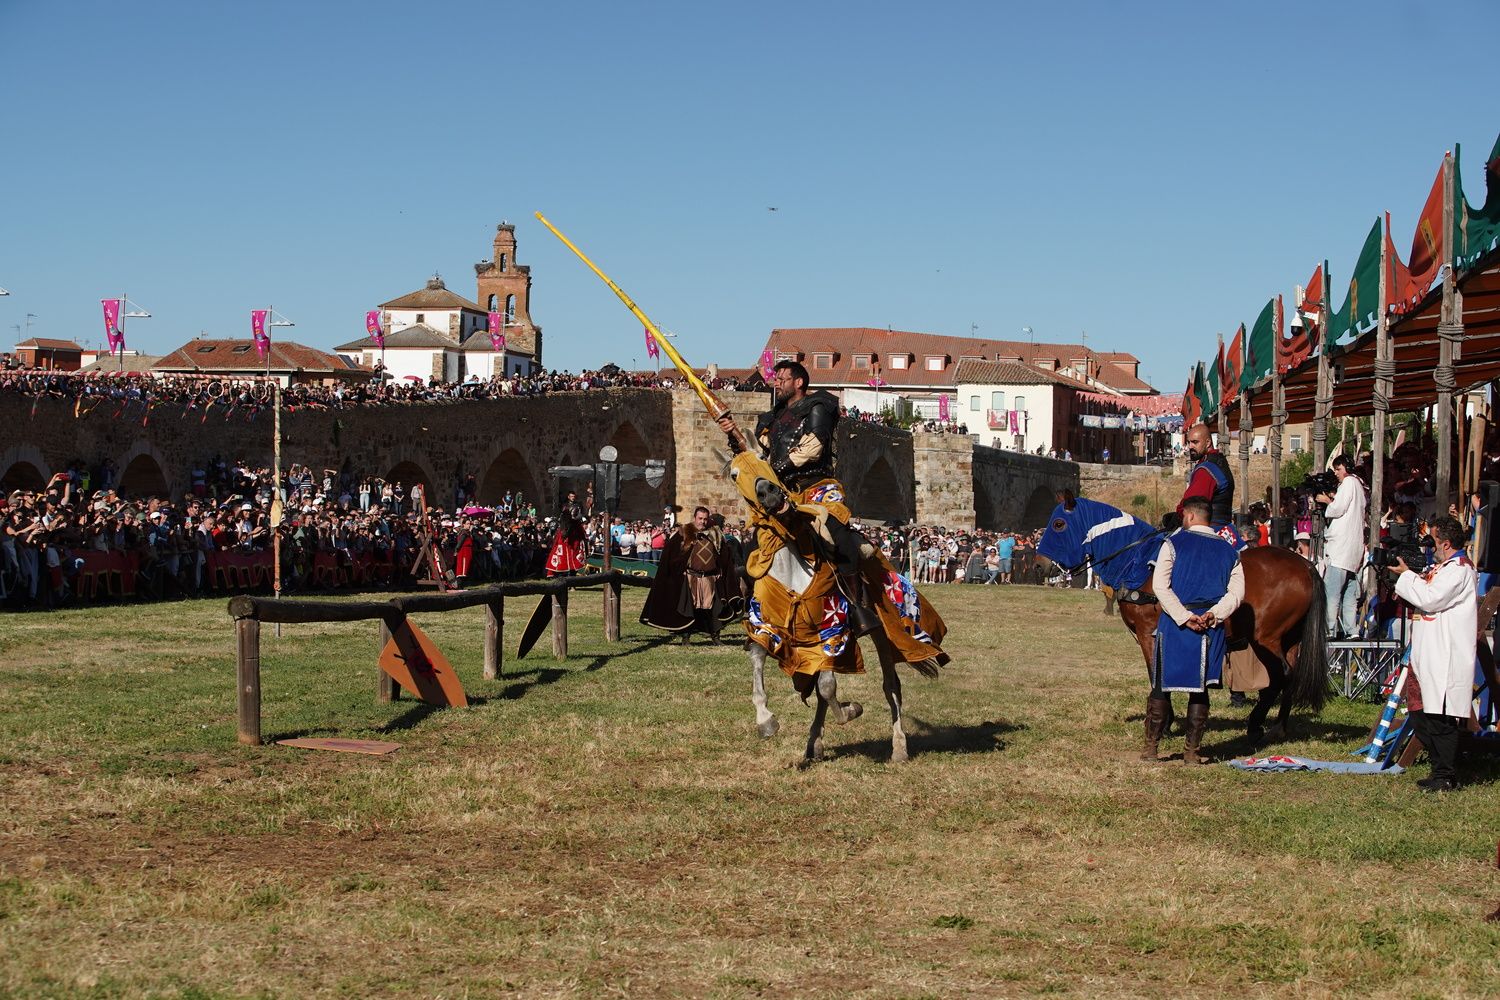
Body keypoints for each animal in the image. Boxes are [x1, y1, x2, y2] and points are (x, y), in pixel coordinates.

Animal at [1038, 491, 1332, 743]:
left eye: (1059, 524)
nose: (1040, 565)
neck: (1137, 563)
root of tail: (1306, 565)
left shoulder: (1148, 633)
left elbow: (1155, 675)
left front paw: (1163, 724)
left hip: (1266, 639)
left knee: (1279, 677)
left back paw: (1256, 725)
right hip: (1290, 639)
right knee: (1291, 677)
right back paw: (1279, 727)